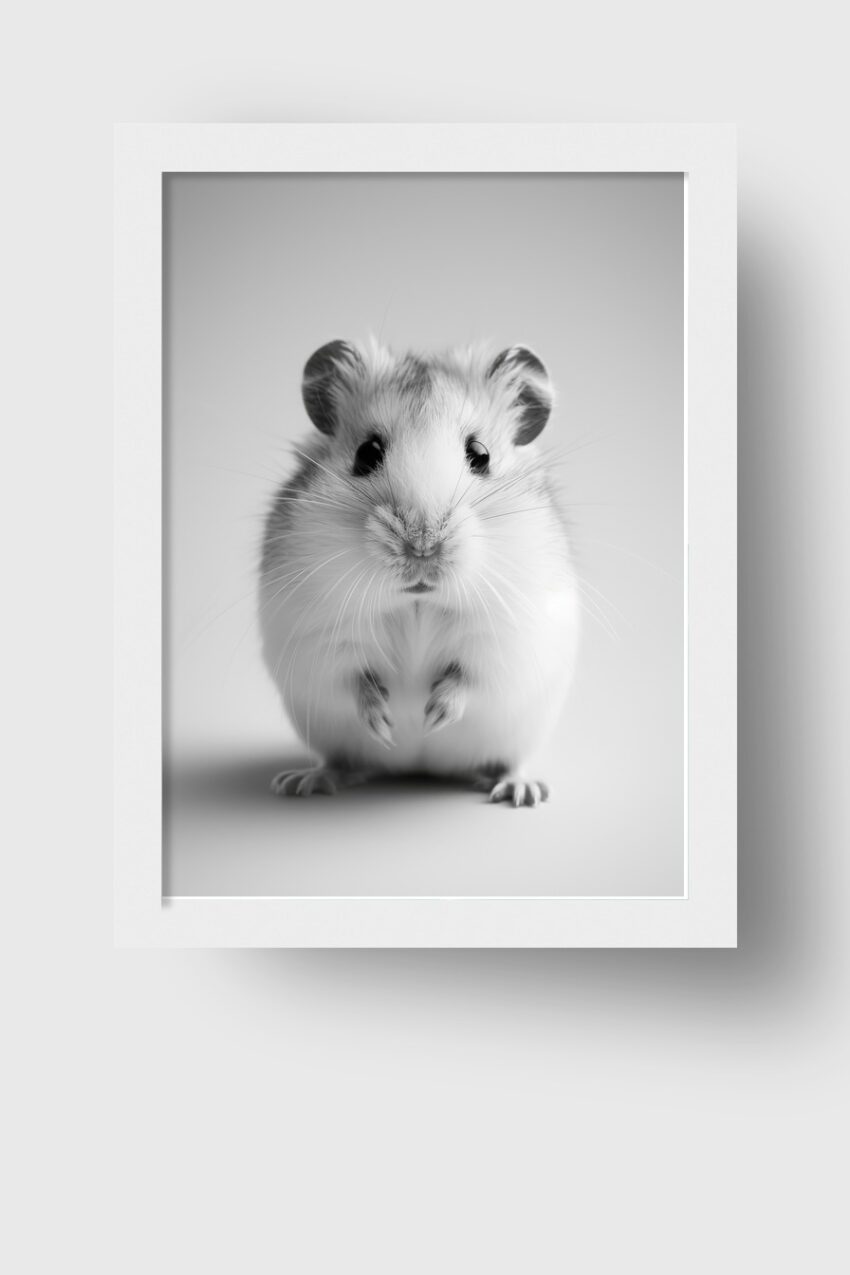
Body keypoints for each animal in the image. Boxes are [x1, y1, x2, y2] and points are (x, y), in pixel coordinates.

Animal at [258, 339, 580, 807]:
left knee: (506, 763)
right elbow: (352, 678)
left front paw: (431, 716)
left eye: (480, 455)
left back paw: (521, 790)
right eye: (366, 453)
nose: (423, 547)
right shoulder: (319, 635)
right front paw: (388, 722)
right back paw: (303, 781)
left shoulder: (506, 637)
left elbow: (469, 677)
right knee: (342, 762)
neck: (417, 602)